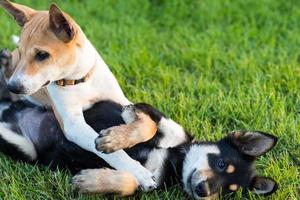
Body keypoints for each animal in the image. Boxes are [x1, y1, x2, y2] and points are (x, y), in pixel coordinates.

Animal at [0, 0, 190, 191]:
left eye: (42, 55)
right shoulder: (73, 125)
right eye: (20, 53)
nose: (13, 87)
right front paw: (138, 171)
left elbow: (149, 124)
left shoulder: (122, 102)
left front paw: (115, 139)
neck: (80, 81)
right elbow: (110, 152)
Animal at [0, 99, 278, 199]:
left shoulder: (151, 183)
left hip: (22, 146)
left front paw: (91, 181)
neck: (175, 162)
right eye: (221, 164)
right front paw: (113, 141)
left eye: (229, 192)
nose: (204, 191)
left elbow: (132, 182)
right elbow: (149, 126)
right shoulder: (143, 110)